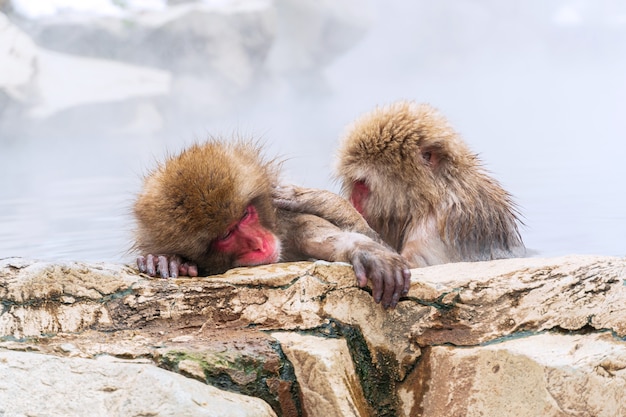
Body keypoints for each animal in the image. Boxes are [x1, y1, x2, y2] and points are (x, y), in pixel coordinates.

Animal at [133, 138, 410, 308]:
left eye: (245, 215)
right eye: (226, 235)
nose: (259, 243)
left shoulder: (290, 224)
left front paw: (366, 252)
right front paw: (167, 261)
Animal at [334, 102, 524, 268]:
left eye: (361, 184)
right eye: (355, 183)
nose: (353, 201)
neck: (434, 195)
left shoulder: (439, 225)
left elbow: (409, 266)